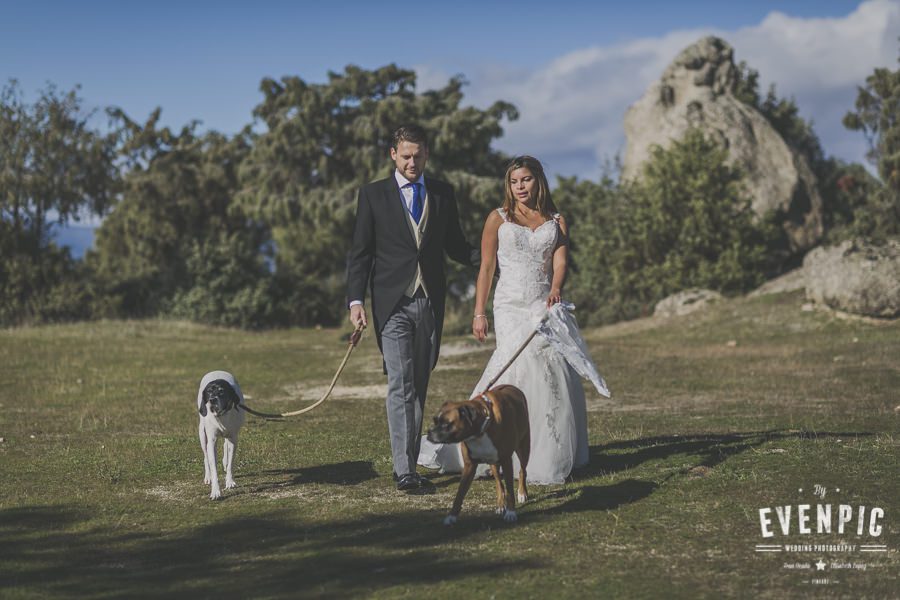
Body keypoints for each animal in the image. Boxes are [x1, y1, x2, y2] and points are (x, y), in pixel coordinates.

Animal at [198, 372, 246, 500]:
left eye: (221, 391)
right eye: (209, 391)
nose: (212, 400)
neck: (221, 416)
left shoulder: (233, 438)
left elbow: (230, 462)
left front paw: (230, 481)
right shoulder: (212, 441)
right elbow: (213, 466)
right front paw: (215, 491)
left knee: (226, 444)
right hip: (202, 433)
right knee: (205, 456)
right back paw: (208, 476)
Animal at [428, 386, 532, 524]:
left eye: (446, 424)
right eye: (435, 421)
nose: (429, 433)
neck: (479, 434)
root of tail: (512, 387)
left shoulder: (506, 461)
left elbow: (510, 489)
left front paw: (511, 513)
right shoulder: (469, 466)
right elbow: (460, 493)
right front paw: (451, 516)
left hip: (523, 448)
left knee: (522, 471)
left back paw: (522, 493)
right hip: (494, 462)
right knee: (499, 483)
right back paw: (500, 504)